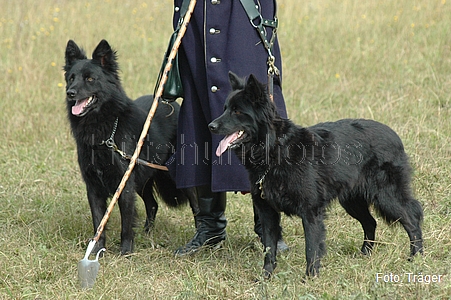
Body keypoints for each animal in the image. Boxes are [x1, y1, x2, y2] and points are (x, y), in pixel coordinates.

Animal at [63, 39, 187, 254]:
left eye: (90, 79)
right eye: (71, 78)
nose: (70, 93)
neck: (104, 132)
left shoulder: (125, 185)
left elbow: (126, 222)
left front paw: (126, 251)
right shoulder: (94, 187)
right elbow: (99, 221)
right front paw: (96, 251)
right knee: (152, 204)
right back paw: (147, 234)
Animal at [208, 71, 424, 278]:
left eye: (237, 111)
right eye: (225, 108)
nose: (210, 126)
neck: (275, 150)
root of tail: (393, 134)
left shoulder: (310, 211)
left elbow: (311, 248)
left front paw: (311, 278)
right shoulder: (267, 212)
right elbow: (269, 249)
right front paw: (265, 277)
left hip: (387, 197)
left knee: (412, 218)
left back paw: (416, 257)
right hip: (352, 201)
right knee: (371, 222)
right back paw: (365, 254)